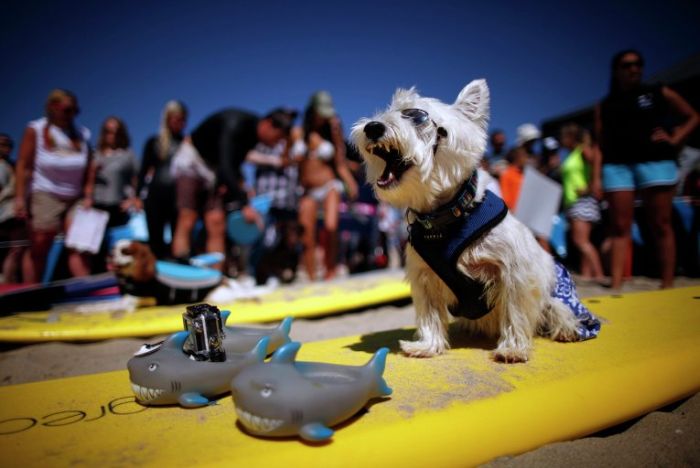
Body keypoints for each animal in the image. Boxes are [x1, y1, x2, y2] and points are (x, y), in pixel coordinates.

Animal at [352, 79, 600, 362]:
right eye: (388, 111)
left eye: (416, 116)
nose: (373, 127)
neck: (446, 217)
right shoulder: (424, 276)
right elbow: (429, 314)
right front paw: (427, 346)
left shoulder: (514, 272)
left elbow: (515, 311)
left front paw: (513, 349)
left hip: (557, 291)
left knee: (561, 312)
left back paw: (567, 329)